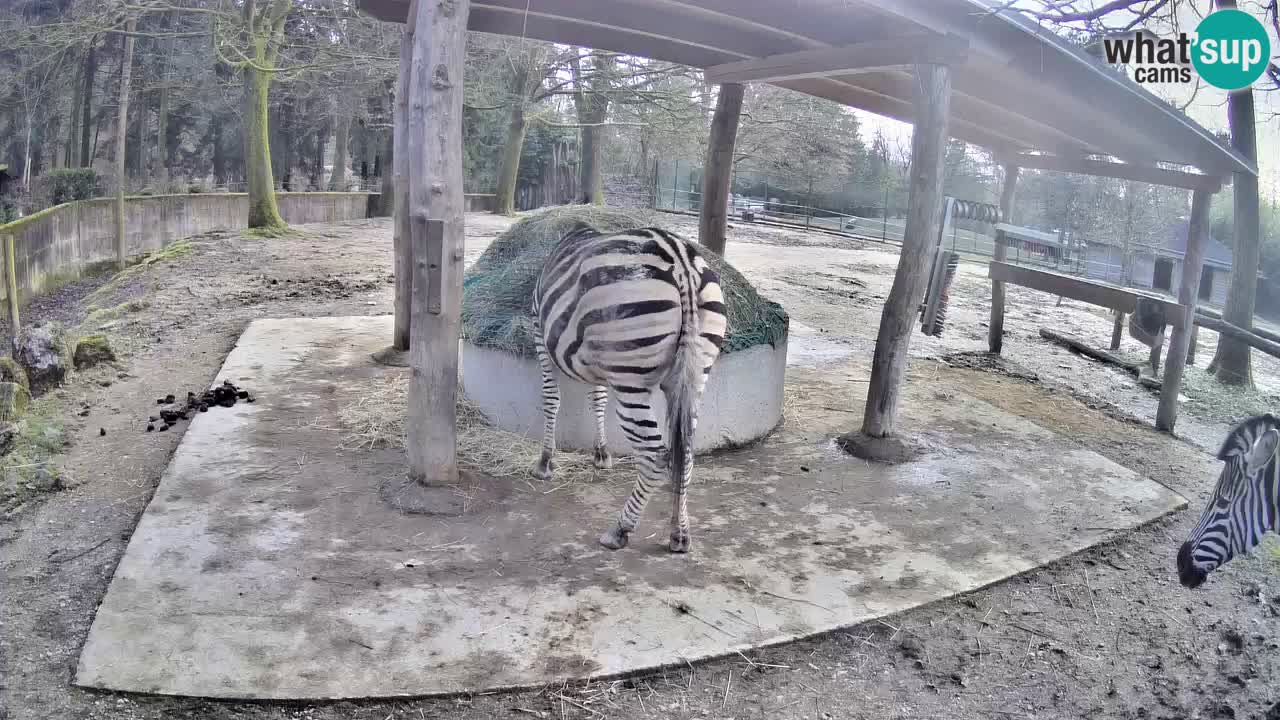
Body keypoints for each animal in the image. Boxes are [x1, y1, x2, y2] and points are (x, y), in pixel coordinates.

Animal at [531, 224, 727, 553]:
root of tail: (681, 263)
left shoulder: (538, 334)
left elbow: (551, 398)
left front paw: (545, 463)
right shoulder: (599, 360)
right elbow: (597, 399)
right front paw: (601, 454)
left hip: (631, 379)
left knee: (655, 456)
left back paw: (620, 529)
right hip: (694, 376)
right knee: (685, 454)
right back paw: (679, 533)